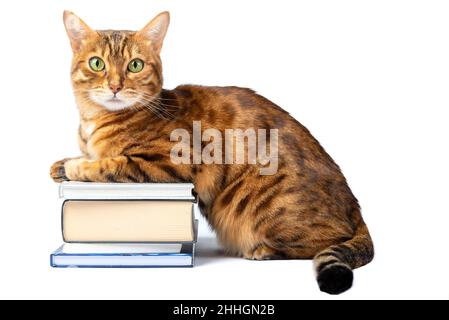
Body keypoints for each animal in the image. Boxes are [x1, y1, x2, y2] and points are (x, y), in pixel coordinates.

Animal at [50, 10, 374, 296]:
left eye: (135, 66)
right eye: (97, 63)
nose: (116, 86)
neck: (96, 122)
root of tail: (356, 208)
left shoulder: (167, 164)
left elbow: (107, 165)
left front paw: (74, 166)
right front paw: (60, 164)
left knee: (326, 240)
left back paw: (262, 249)